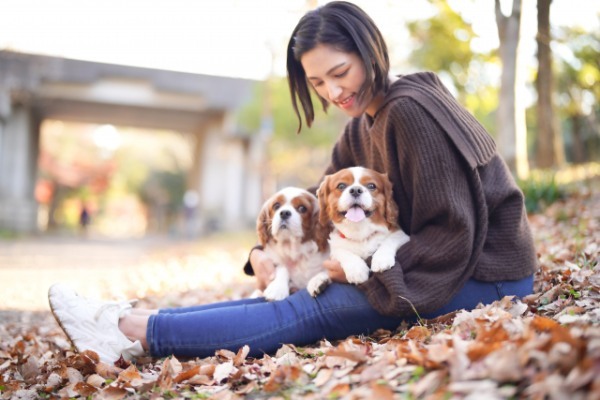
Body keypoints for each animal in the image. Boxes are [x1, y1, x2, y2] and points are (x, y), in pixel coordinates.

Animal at [308, 166, 410, 296]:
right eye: (341, 186)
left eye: (371, 186)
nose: (356, 190)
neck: (359, 230)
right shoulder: (336, 245)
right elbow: (342, 251)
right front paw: (357, 269)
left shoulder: (401, 234)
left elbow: (389, 241)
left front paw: (381, 259)